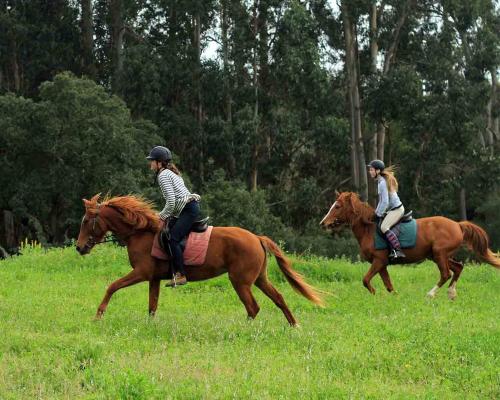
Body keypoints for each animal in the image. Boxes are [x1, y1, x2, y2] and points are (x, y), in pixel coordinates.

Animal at [75, 193, 322, 324]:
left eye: (86, 221)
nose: (79, 248)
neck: (139, 232)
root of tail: (256, 238)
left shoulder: (141, 273)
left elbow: (112, 286)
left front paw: (98, 315)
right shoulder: (153, 278)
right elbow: (152, 305)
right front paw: (150, 325)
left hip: (240, 281)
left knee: (253, 307)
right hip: (260, 278)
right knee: (278, 298)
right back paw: (294, 326)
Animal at [320, 192, 500, 298]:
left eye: (337, 206)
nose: (323, 223)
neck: (368, 229)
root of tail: (457, 225)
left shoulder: (378, 261)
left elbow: (365, 280)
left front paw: (374, 293)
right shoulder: (382, 264)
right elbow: (388, 285)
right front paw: (394, 297)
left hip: (439, 253)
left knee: (446, 274)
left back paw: (430, 294)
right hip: (437, 255)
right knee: (458, 268)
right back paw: (451, 293)